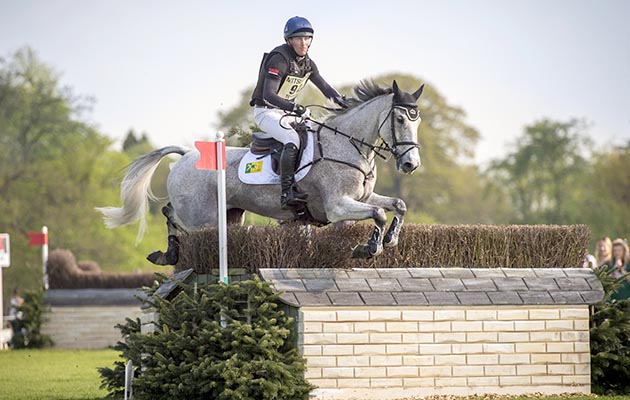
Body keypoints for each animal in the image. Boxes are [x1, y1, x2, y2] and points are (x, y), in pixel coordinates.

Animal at [99, 79, 424, 264]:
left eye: (417, 120)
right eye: (399, 119)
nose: (411, 165)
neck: (347, 145)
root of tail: (185, 155)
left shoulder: (362, 198)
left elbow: (397, 205)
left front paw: (390, 239)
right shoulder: (337, 206)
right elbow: (378, 214)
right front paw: (369, 248)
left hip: (231, 218)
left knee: (176, 216)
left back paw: (167, 254)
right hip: (201, 218)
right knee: (172, 216)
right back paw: (168, 253)